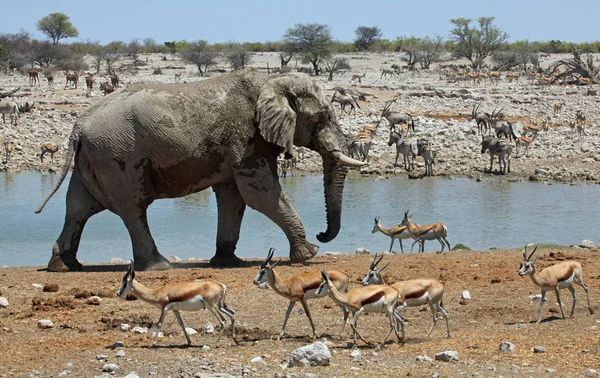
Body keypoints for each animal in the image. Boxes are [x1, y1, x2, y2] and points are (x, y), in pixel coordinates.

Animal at [38, 71, 366, 272]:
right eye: (321, 117)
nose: (323, 233)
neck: (272, 80)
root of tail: (78, 126)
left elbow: (233, 198)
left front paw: (227, 261)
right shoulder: (247, 138)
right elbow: (260, 194)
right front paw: (308, 253)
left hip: (94, 158)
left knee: (79, 208)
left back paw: (65, 265)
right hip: (117, 156)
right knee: (133, 208)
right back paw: (158, 265)